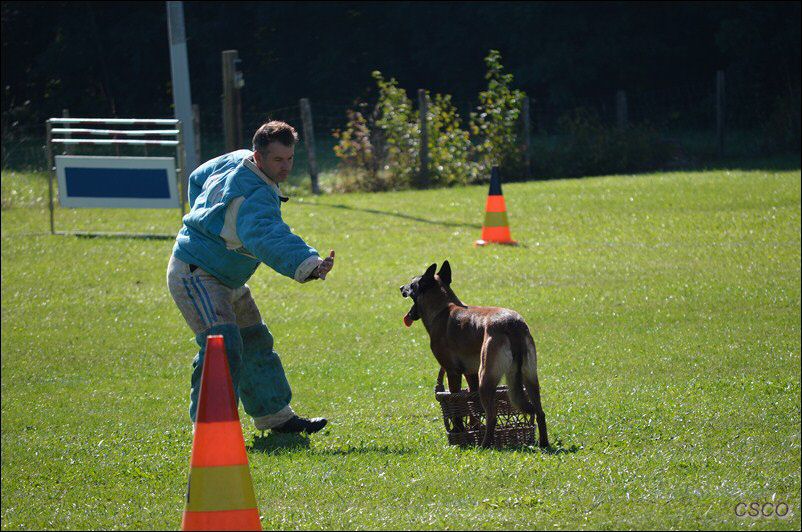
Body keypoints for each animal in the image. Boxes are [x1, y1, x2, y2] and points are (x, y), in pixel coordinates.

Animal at [400, 262, 552, 448]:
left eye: (411, 283)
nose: (401, 288)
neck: (442, 307)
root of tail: (513, 325)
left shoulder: (453, 372)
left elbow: (457, 408)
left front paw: (458, 431)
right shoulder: (470, 374)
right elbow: (472, 406)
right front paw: (472, 429)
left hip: (485, 378)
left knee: (492, 416)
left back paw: (485, 445)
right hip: (530, 379)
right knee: (540, 412)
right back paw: (543, 443)